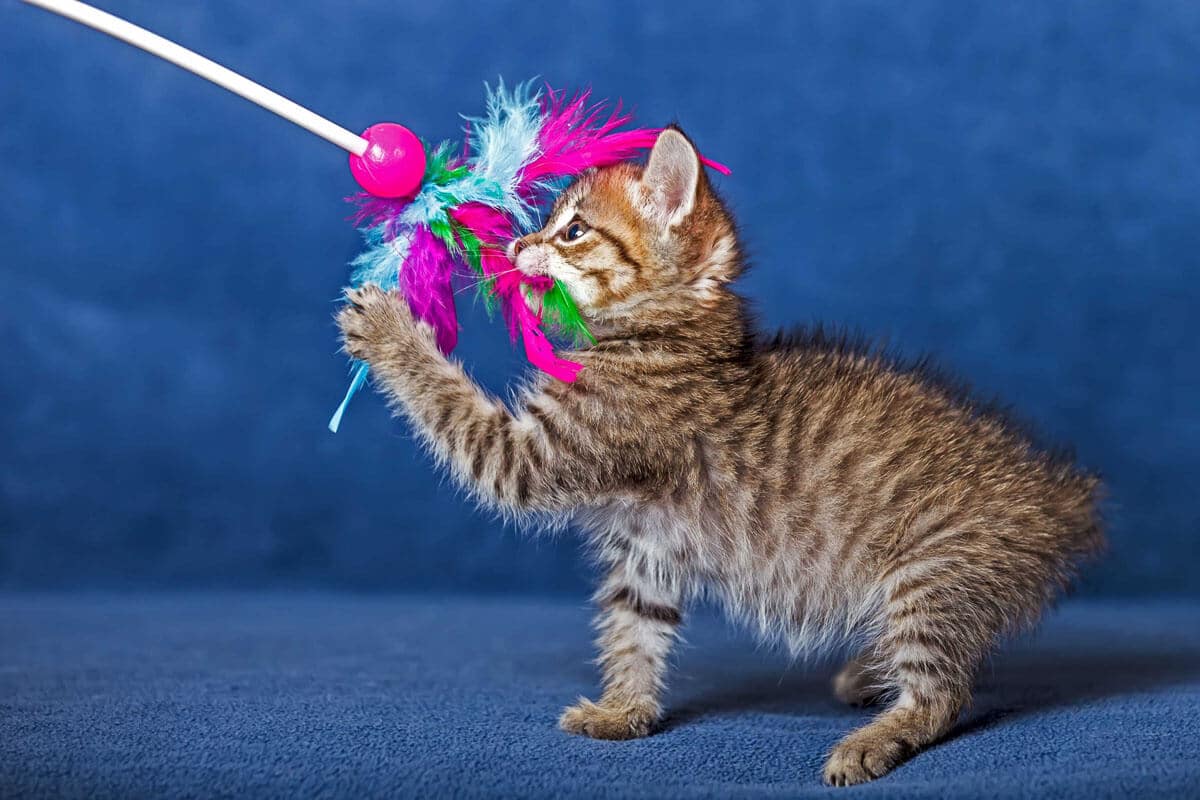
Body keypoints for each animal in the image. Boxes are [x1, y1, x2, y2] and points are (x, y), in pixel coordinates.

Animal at [338, 128, 1104, 786]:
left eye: (574, 230)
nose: (517, 242)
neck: (668, 336)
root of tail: (1060, 496)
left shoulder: (537, 455)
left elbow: (454, 409)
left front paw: (389, 328)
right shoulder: (646, 543)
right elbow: (633, 628)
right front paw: (624, 711)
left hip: (931, 572)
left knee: (943, 691)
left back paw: (878, 734)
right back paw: (871, 673)